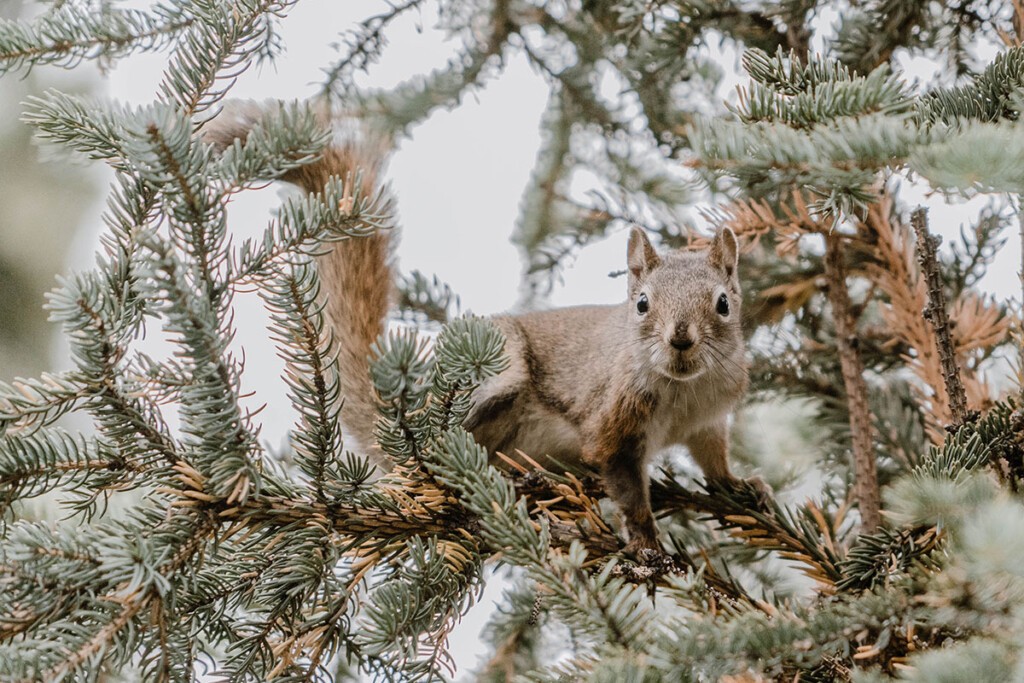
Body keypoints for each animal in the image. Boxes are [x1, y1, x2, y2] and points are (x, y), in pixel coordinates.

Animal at [206, 103, 755, 555]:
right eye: (641, 304)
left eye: (723, 304)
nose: (680, 339)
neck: (683, 390)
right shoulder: (612, 423)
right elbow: (625, 484)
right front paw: (647, 545)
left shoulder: (710, 417)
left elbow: (713, 457)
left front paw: (741, 488)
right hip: (497, 376)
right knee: (428, 456)